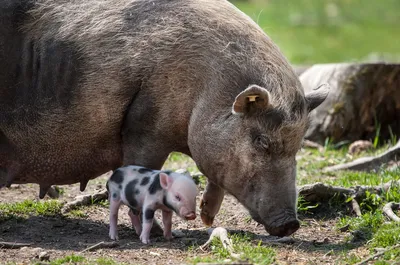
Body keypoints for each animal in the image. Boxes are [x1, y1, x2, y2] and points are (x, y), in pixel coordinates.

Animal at [0, 0, 330, 235]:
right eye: (261, 141)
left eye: (298, 145)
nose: (291, 224)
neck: (207, 85)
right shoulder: (145, 128)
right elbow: (142, 177)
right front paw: (161, 234)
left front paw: (206, 221)